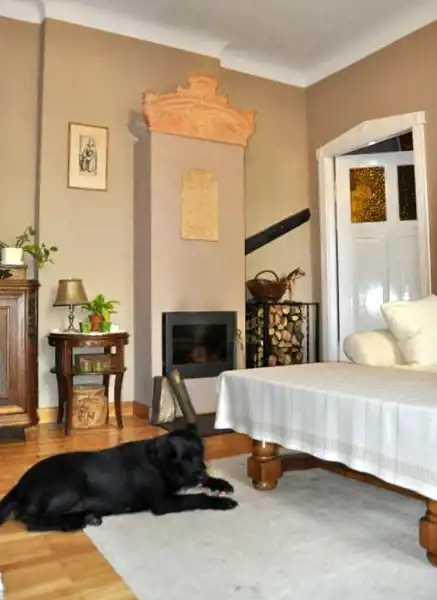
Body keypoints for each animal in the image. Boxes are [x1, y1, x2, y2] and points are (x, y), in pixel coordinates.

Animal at [0, 424, 237, 532]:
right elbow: (195, 497)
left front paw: (221, 483)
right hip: (69, 487)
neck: (159, 464)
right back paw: (74, 522)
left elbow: (206, 483)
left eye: (200, 453)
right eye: (184, 459)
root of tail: (20, 485)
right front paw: (222, 501)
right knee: (34, 522)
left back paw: (86, 516)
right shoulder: (163, 502)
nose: (201, 472)